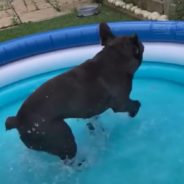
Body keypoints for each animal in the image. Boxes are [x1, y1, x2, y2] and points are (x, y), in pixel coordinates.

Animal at [5, 22, 144, 162]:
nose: (141, 43)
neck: (113, 58)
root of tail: (17, 120)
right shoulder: (121, 103)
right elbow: (136, 104)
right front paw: (133, 112)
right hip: (63, 140)